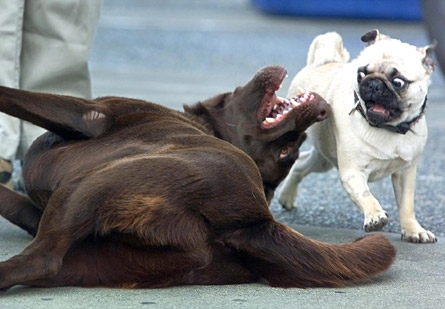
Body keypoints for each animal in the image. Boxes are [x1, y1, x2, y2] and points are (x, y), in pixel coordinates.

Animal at [0, 66, 396, 290]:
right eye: (289, 150)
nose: (321, 111)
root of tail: (255, 221)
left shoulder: (90, 114)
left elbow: (11, 96)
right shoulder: (35, 211)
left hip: (89, 186)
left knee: (43, 259)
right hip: (101, 259)